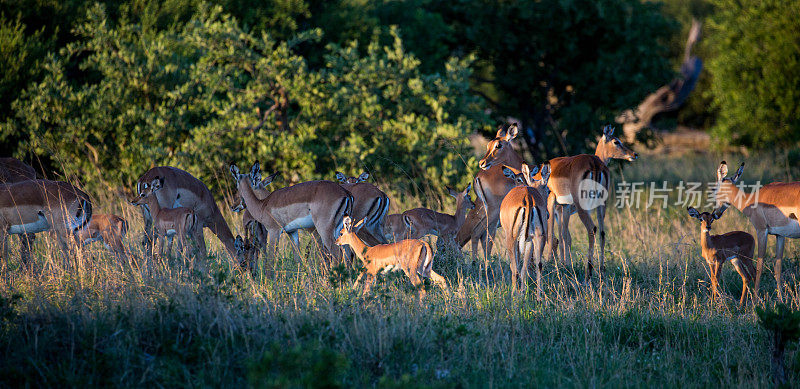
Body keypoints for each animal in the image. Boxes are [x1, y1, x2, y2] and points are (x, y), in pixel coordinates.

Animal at [500, 161, 552, 294]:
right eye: (548, 190)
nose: (548, 214)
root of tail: (528, 197)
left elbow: (516, 265)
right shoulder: (529, 240)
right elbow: (525, 266)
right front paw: (523, 291)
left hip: (511, 238)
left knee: (515, 269)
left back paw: (514, 294)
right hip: (538, 237)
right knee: (538, 265)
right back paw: (537, 296)